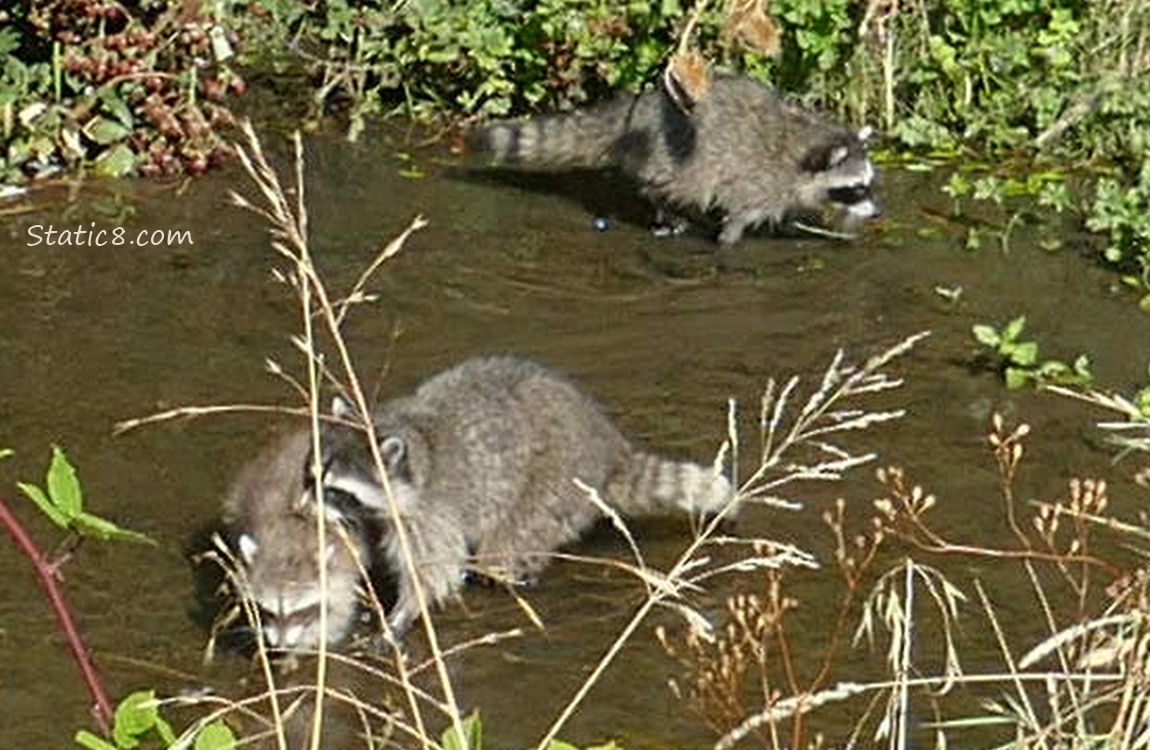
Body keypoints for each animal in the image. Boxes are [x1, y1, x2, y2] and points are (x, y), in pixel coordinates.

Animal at [222, 429, 373, 650]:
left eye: (299, 612)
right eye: (268, 611)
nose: (281, 646)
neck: (288, 542)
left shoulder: (343, 562)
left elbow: (339, 610)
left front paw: (312, 639)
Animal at [311, 356, 733, 634]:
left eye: (336, 489)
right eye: (311, 477)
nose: (304, 512)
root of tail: (608, 447)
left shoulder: (430, 511)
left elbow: (433, 569)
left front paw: (403, 614)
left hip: (551, 484)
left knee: (505, 549)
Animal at [471, 73, 879, 244]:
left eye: (868, 184)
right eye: (856, 189)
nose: (877, 213)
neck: (808, 147)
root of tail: (639, 110)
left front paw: (792, 227)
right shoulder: (758, 181)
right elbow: (737, 217)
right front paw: (729, 238)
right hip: (681, 156)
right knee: (677, 186)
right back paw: (665, 206)